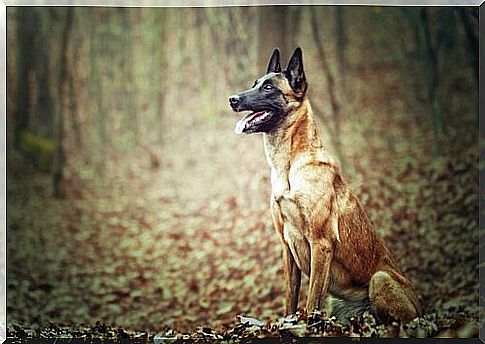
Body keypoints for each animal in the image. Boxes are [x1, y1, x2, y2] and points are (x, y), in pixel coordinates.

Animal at [227, 47, 420, 322]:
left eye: (268, 88)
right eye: (254, 84)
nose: (232, 99)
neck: (290, 166)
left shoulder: (321, 244)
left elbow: (310, 301)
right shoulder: (287, 246)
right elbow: (290, 298)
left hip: (380, 279)